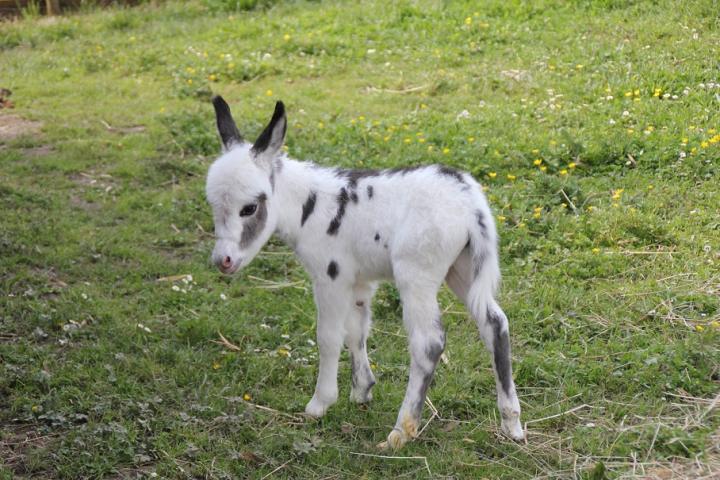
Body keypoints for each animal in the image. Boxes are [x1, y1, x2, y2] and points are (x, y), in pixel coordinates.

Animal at [205, 97, 524, 450]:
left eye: (249, 208)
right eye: (213, 206)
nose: (223, 261)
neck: (309, 207)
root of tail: (471, 204)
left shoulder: (330, 278)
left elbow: (329, 337)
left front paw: (320, 404)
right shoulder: (358, 282)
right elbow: (355, 331)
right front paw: (362, 391)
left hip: (417, 276)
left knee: (428, 343)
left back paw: (401, 432)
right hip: (462, 268)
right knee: (495, 324)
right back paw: (512, 423)